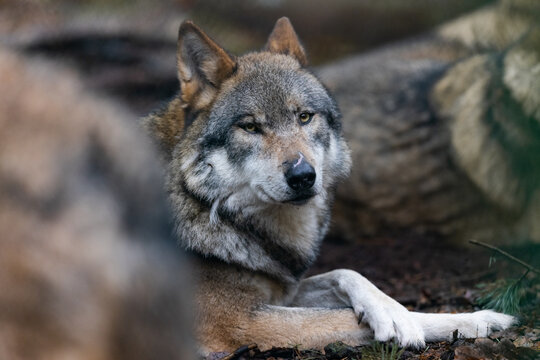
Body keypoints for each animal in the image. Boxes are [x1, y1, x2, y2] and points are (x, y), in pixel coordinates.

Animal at [142, 17, 516, 354]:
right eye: (250, 127)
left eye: (305, 117)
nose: (303, 176)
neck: (200, 201)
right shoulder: (238, 323)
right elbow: (340, 316)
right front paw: (410, 323)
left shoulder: (284, 292)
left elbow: (346, 272)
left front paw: (468, 318)